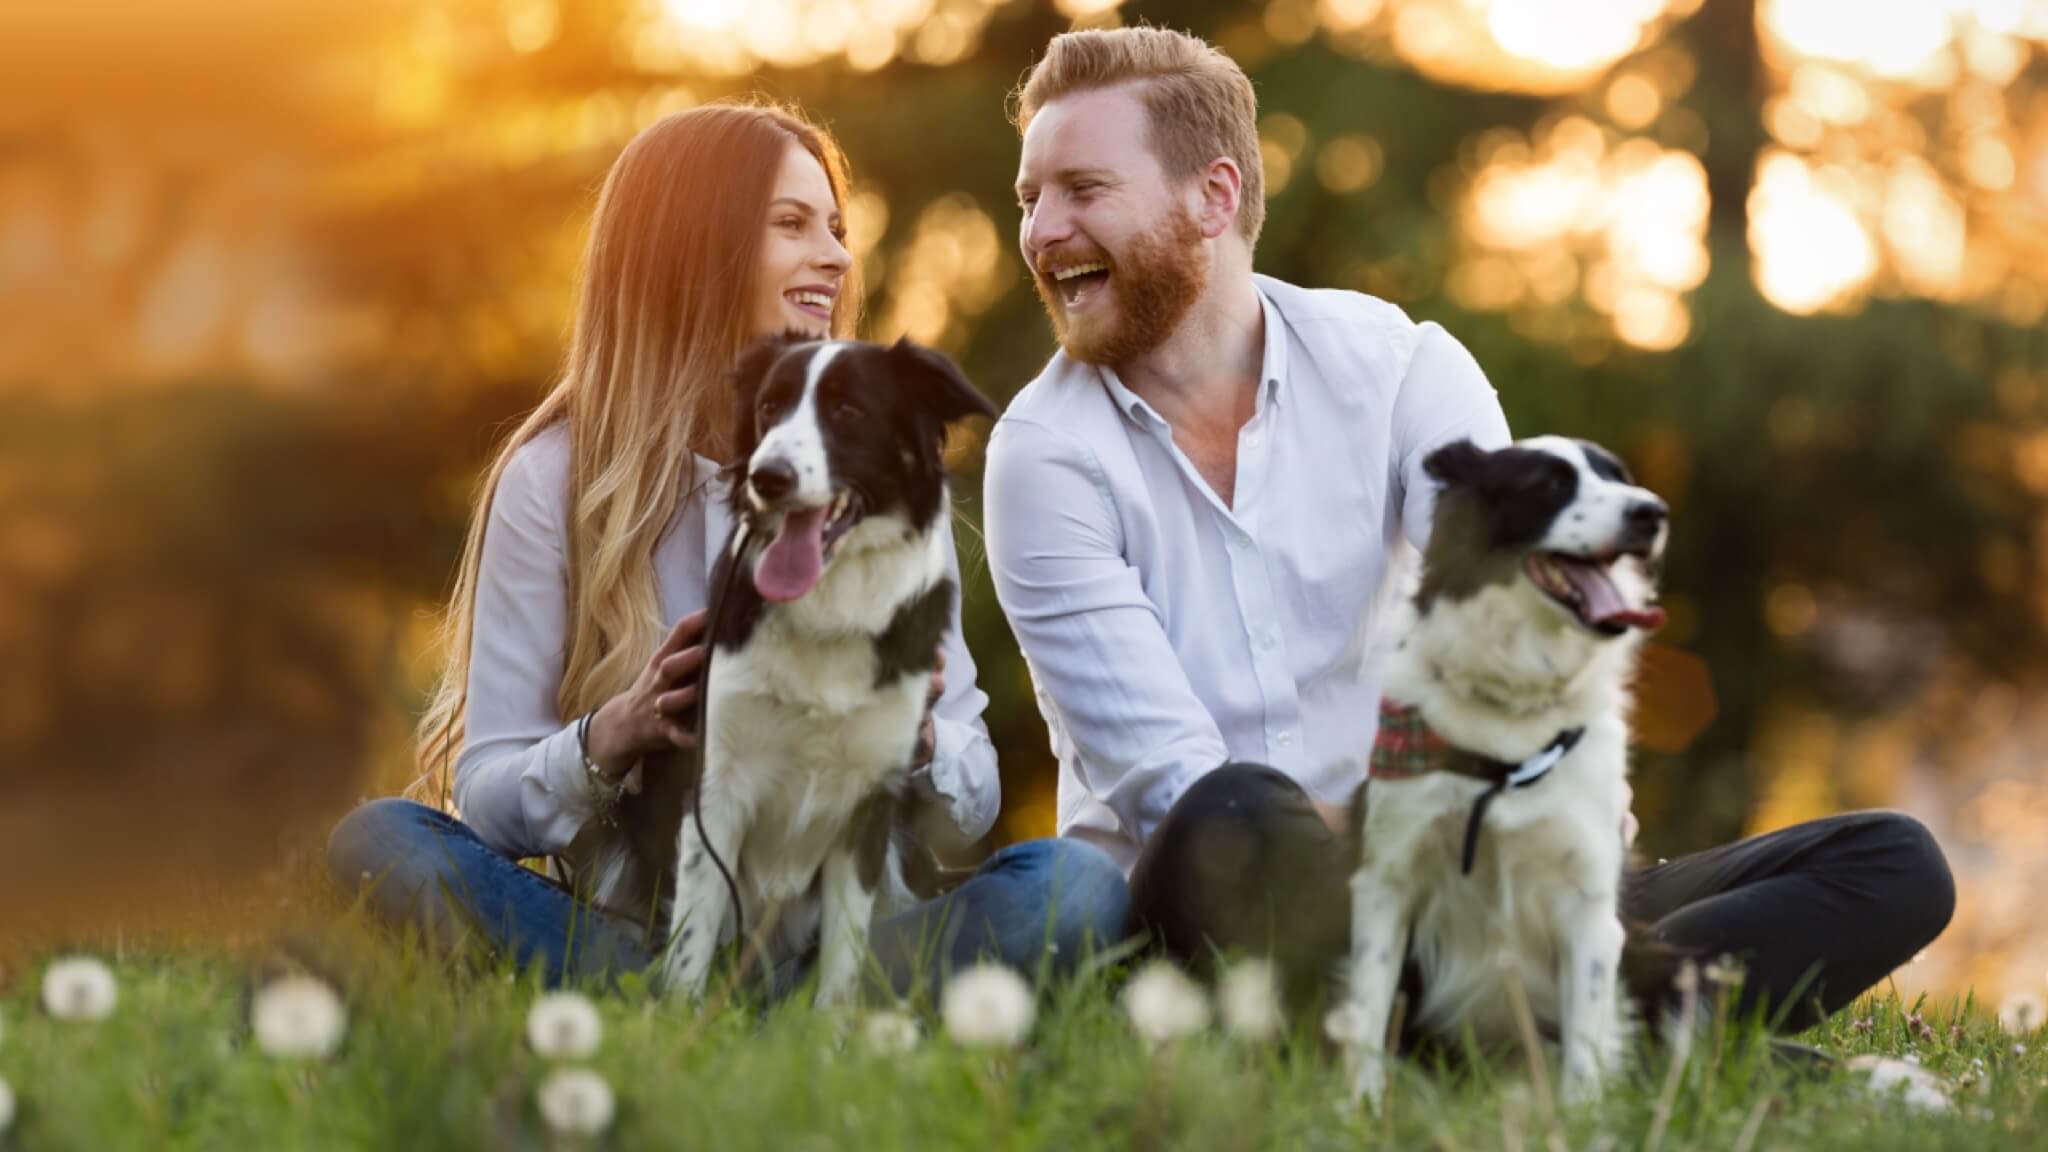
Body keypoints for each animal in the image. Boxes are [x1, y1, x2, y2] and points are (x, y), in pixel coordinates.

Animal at [638, 332, 991, 1004]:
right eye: (769, 407)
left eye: (848, 411)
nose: (767, 476)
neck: (827, 605)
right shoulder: (716, 783)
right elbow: (692, 941)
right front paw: (676, 1020)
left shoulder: (870, 802)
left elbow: (842, 963)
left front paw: (831, 1032)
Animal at [1343, 432, 1662, 1106]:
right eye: (1548, 484)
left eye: (1621, 477)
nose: (1651, 513)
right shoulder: (1387, 878)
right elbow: (1367, 1007)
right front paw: (1357, 1107)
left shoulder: (1591, 903)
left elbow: (1586, 1046)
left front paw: (1581, 1119)